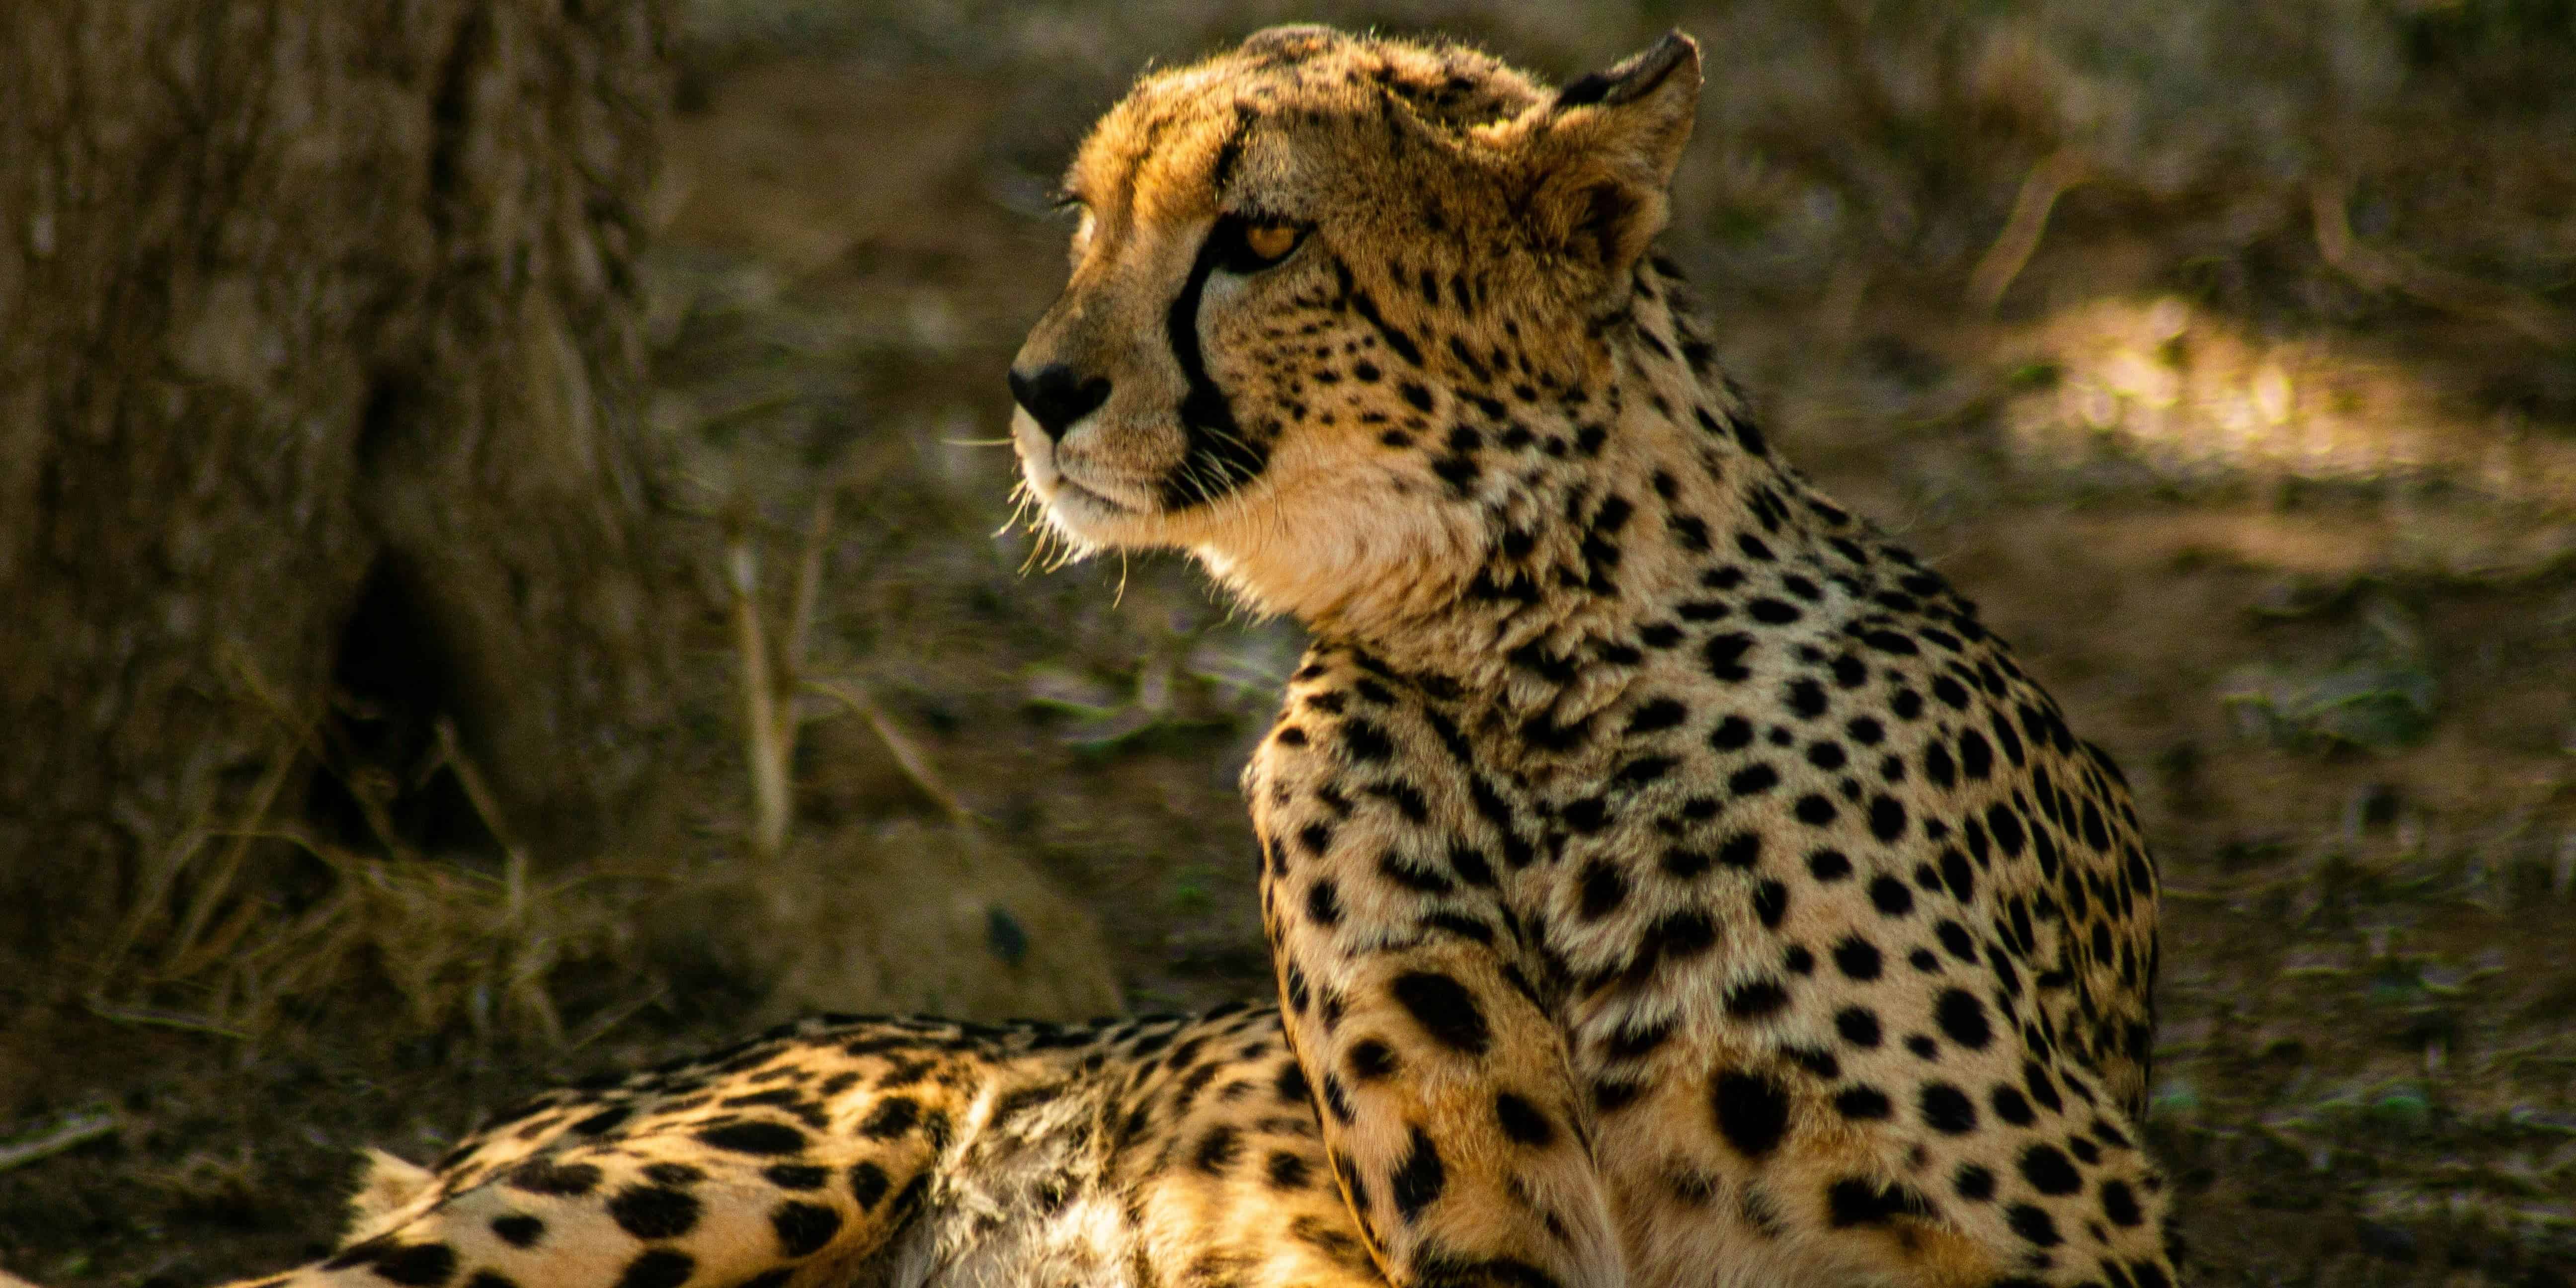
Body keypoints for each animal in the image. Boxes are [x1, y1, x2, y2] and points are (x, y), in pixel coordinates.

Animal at [181, 24, 2176, 1288]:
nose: (1035, 385)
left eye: (1262, 235)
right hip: (756, 1154)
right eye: (1090, 218)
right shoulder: (1484, 1238)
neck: (1526, 655)